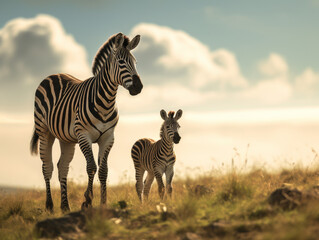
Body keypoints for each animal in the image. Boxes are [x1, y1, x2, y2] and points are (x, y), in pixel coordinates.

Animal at [30, 32, 143, 212]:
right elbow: (91, 167)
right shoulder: (84, 135)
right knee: (47, 167)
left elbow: (103, 170)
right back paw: (49, 205)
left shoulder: (108, 137)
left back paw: (65, 206)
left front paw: (103, 202)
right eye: (121, 62)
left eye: (135, 63)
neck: (106, 102)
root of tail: (54, 75)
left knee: (63, 167)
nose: (138, 87)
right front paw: (87, 201)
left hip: (66, 139)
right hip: (44, 132)